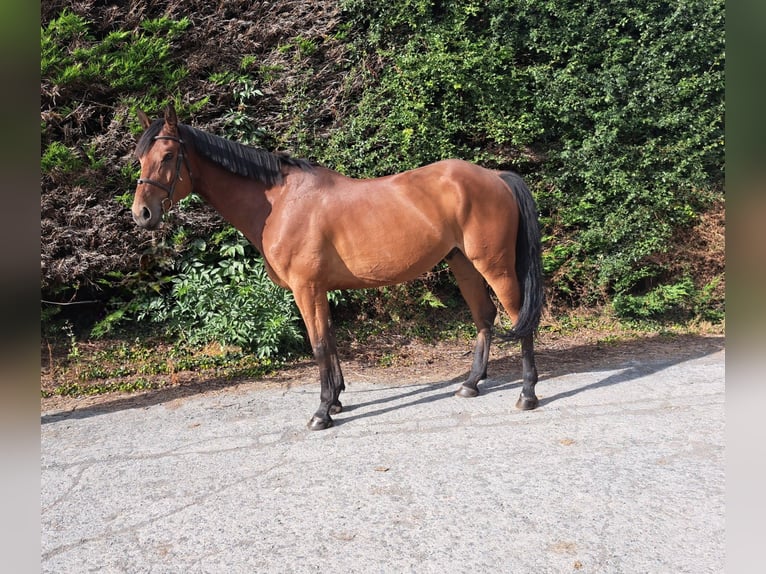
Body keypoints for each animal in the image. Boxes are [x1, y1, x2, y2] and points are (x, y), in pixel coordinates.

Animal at [131, 105, 545, 430]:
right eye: (140, 158)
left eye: (168, 156)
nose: (141, 214)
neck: (279, 204)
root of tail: (495, 177)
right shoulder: (319, 289)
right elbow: (329, 340)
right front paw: (336, 400)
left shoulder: (307, 288)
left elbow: (317, 345)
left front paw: (321, 413)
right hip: (464, 264)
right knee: (485, 316)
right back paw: (471, 384)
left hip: (495, 265)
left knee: (519, 317)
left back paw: (527, 394)